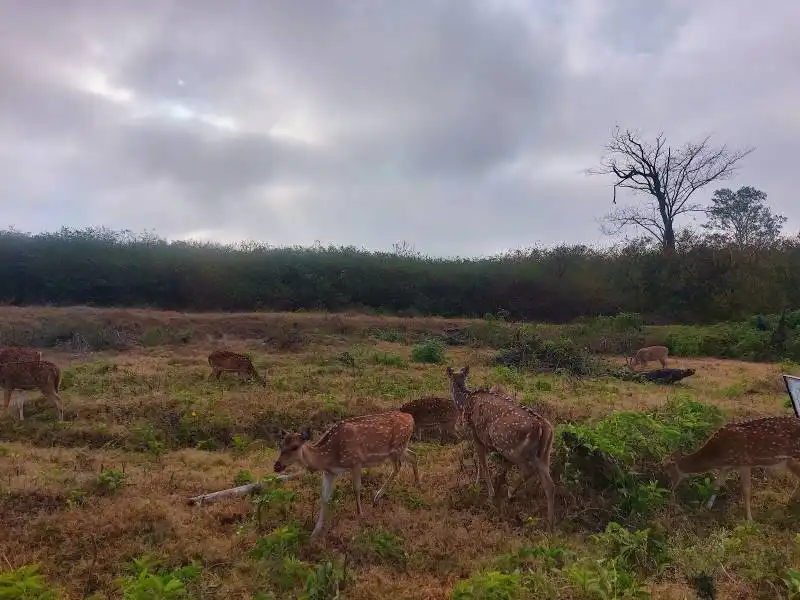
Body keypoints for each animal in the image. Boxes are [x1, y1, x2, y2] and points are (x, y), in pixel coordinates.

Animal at [274, 412, 422, 540]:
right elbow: (324, 498)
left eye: (295, 447)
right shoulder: (330, 472)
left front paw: (360, 517)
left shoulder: (356, 461)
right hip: (402, 448)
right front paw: (315, 532)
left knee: (398, 466)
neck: (329, 457)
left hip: (396, 448)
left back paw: (377, 496)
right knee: (413, 456)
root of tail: (410, 417)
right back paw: (417, 484)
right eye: (280, 445)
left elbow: (356, 489)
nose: (277, 466)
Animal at [444, 366, 556, 528]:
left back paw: (510, 492)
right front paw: (479, 483)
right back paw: (550, 522)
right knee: (549, 484)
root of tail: (544, 428)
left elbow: (483, 463)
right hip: (544, 453)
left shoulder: (476, 434)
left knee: (528, 470)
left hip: (511, 447)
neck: (465, 402)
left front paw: (488, 491)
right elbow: (481, 462)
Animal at [664, 418, 800, 520]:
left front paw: (749, 519)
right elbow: (717, 484)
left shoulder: (744, 463)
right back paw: (790, 500)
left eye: (669, 472)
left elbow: (746, 490)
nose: (669, 488)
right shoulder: (727, 467)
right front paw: (707, 507)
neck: (717, 455)